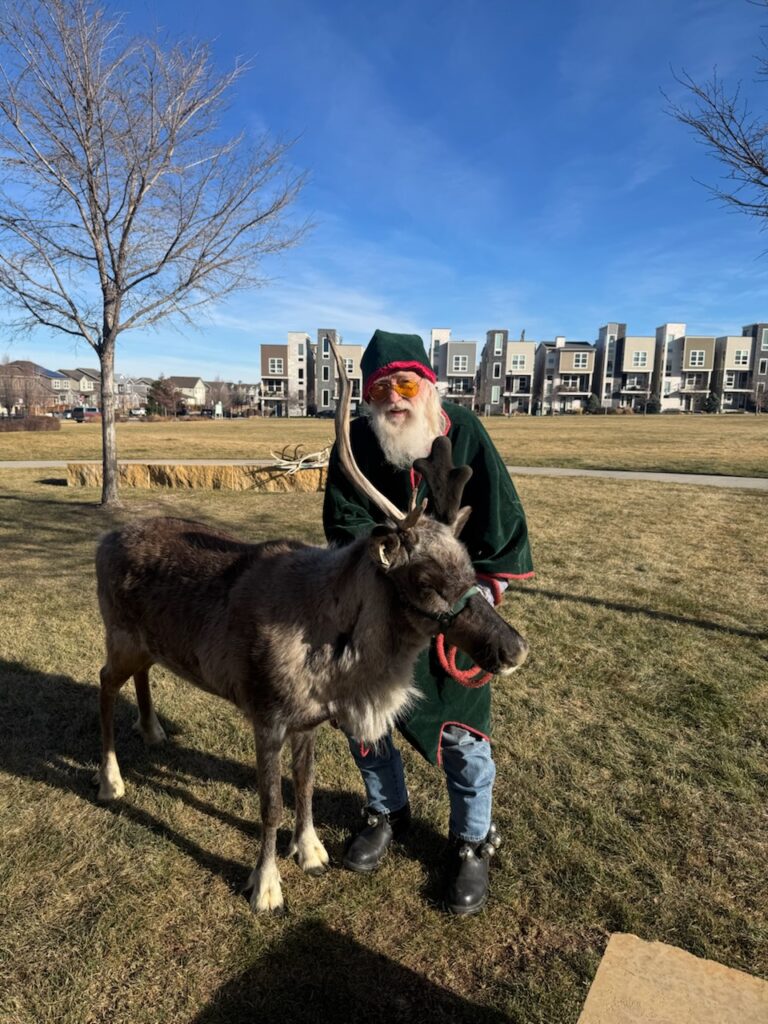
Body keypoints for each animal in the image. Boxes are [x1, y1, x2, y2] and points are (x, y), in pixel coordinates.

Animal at [93, 341, 529, 913]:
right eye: (427, 578)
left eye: (471, 567)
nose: (515, 648)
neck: (335, 661)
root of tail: (102, 542)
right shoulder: (266, 716)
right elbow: (270, 805)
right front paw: (266, 885)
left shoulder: (310, 722)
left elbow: (304, 788)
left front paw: (313, 851)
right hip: (118, 635)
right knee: (103, 682)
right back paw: (110, 781)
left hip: (145, 644)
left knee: (138, 676)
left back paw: (153, 730)